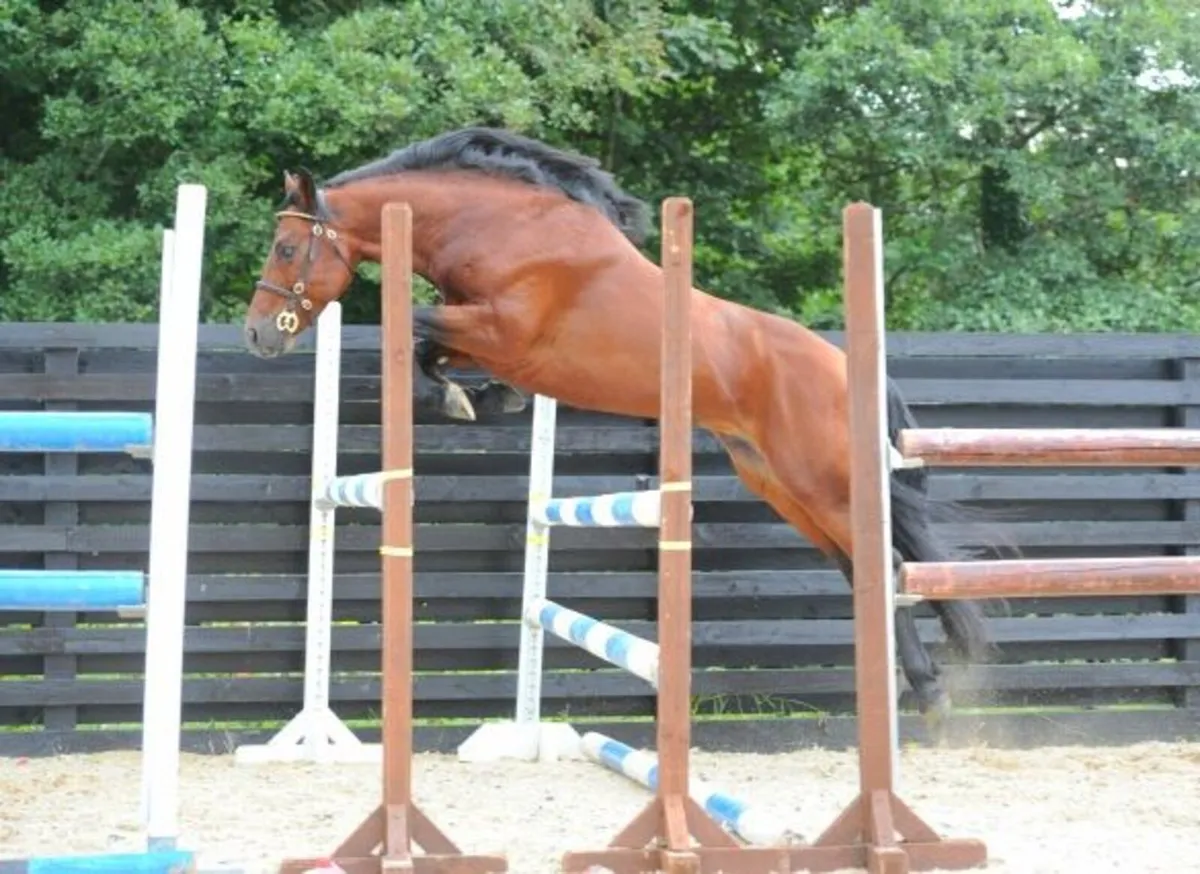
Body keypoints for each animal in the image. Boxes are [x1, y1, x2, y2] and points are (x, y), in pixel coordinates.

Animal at [242, 126, 994, 727]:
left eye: (286, 248)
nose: (257, 336)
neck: (497, 225)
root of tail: (847, 367)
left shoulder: (502, 328)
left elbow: (415, 327)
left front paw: (468, 399)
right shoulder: (483, 333)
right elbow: (431, 345)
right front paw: (486, 399)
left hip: (822, 480)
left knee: (887, 565)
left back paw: (927, 695)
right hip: (781, 484)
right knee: (862, 566)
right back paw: (924, 692)